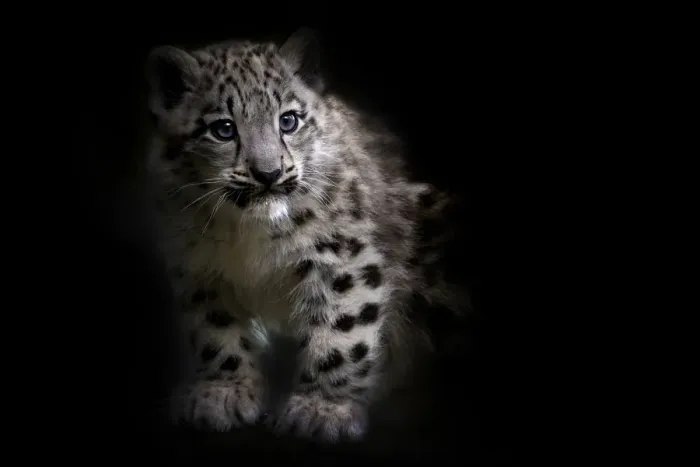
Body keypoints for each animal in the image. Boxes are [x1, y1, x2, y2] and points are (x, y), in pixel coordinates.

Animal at [144, 27, 468, 442]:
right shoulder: (199, 268)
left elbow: (342, 332)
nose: (268, 173)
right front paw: (224, 393)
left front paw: (321, 408)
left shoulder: (344, 256)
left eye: (289, 120)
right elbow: (216, 333)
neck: (249, 235)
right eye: (223, 129)